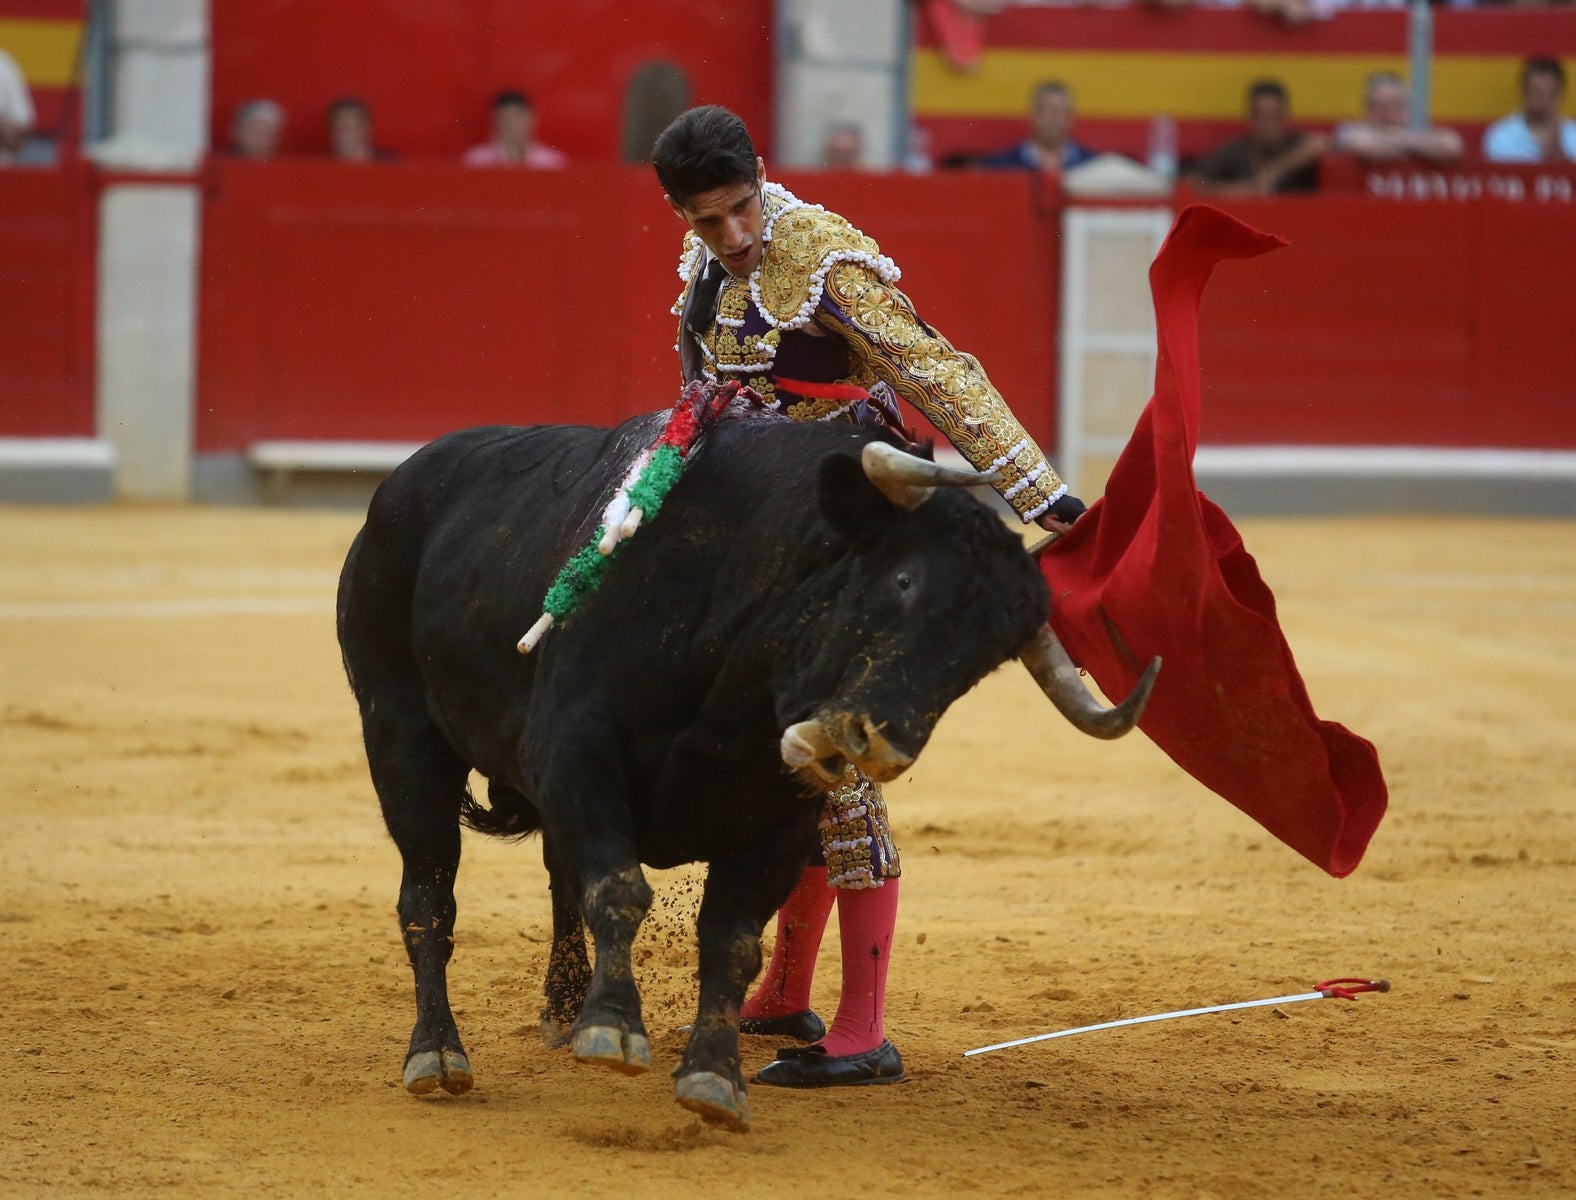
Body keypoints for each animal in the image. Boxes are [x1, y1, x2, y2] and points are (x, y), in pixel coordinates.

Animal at [338, 413, 1153, 1122]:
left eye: (984, 662)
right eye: (904, 581)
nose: (877, 744)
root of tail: (403, 483)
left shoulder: (779, 819)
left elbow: (731, 939)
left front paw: (712, 1077)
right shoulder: (574, 745)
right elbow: (620, 887)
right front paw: (614, 1030)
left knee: (557, 878)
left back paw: (564, 1012)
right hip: (400, 736)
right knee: (428, 897)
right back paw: (438, 1055)